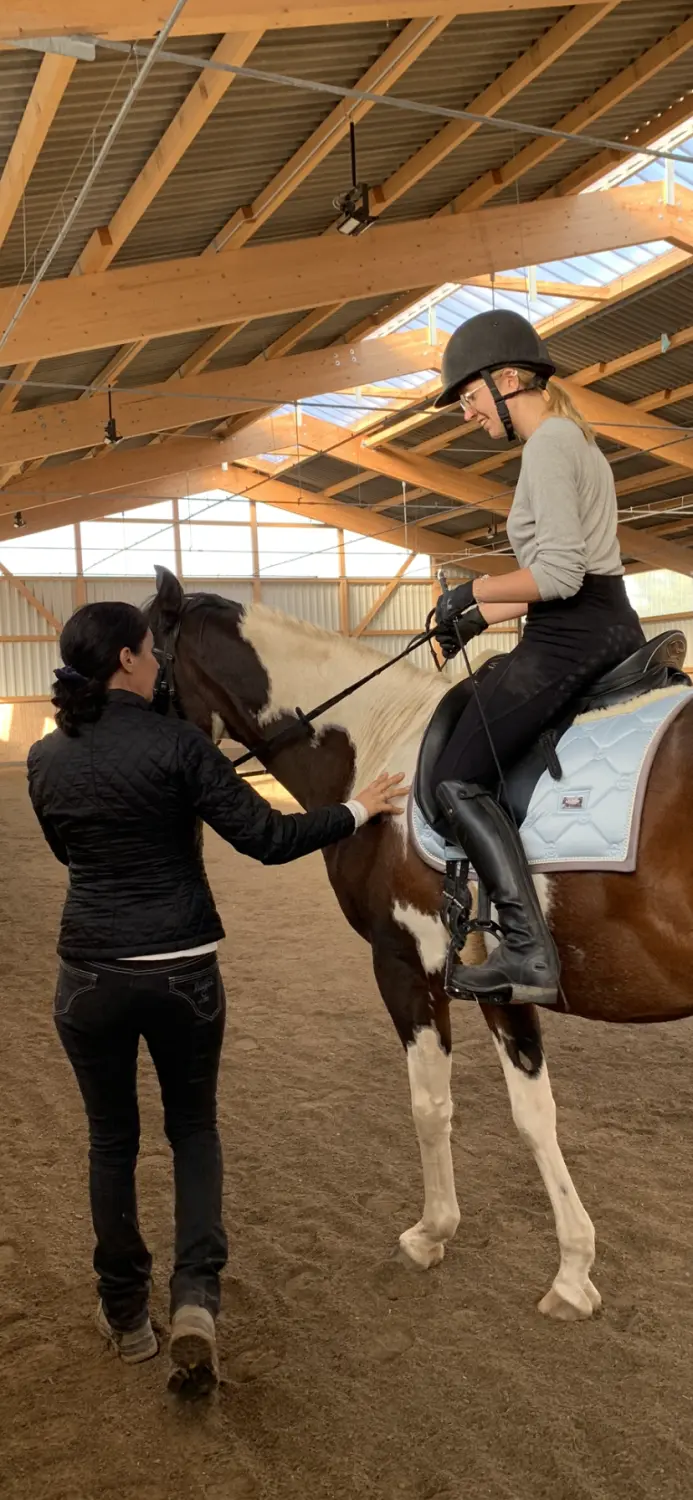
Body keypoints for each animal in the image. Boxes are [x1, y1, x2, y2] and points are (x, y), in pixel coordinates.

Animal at [146, 567, 693, 1320]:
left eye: (146, 663)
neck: (377, 745)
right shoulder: (498, 982)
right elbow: (534, 1114)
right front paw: (573, 1271)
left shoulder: (408, 966)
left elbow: (430, 1106)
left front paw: (432, 1232)